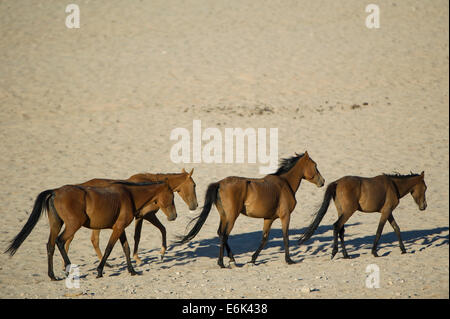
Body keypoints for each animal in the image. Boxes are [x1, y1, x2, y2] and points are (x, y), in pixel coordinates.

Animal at [5, 181, 178, 282]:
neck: (130, 196)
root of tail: (55, 191)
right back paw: (69, 271)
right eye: (172, 197)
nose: (174, 216)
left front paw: (132, 270)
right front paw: (100, 271)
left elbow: (126, 248)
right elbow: (109, 249)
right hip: (73, 225)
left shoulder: (120, 228)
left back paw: (52, 275)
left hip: (56, 224)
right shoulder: (118, 228)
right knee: (60, 241)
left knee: (50, 245)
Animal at [63, 169, 199, 266]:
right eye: (194, 185)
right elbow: (150, 233)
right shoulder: (146, 215)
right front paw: (155, 255)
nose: (195, 205)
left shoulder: (142, 216)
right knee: (89, 240)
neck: (152, 188)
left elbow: (150, 232)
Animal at [176, 152, 324, 268]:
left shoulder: (269, 218)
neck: (285, 184)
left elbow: (264, 239)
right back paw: (221, 262)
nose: (322, 181)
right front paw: (289, 260)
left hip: (224, 216)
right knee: (224, 235)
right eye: (315, 166)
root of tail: (219, 183)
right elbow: (285, 237)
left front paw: (253, 259)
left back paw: (232, 259)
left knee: (221, 233)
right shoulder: (285, 216)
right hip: (232, 217)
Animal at [298, 171, 428, 258]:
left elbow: (396, 228)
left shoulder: (389, 212)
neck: (394, 185)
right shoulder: (386, 212)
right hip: (348, 212)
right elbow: (379, 231)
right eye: (425, 188)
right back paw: (335, 252)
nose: (424, 206)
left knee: (341, 230)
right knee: (336, 226)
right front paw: (374, 251)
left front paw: (403, 249)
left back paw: (345, 254)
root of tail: (337, 182)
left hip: (342, 212)